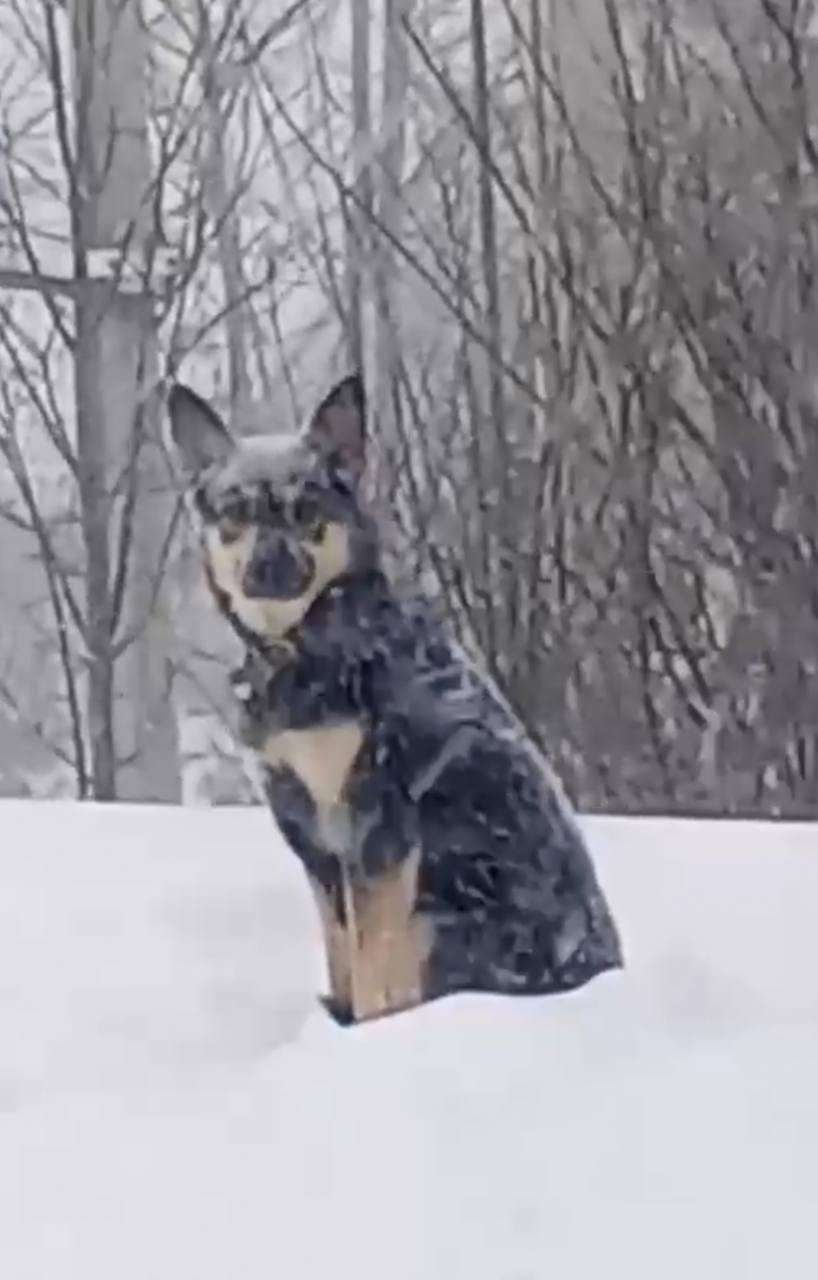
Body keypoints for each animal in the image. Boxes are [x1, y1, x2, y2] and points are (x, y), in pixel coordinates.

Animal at [168, 373, 623, 1023]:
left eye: (307, 511)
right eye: (233, 514)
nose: (267, 563)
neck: (311, 646)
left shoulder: (375, 824)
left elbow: (375, 961)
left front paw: (370, 1030)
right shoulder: (310, 834)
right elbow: (341, 948)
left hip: (446, 914)